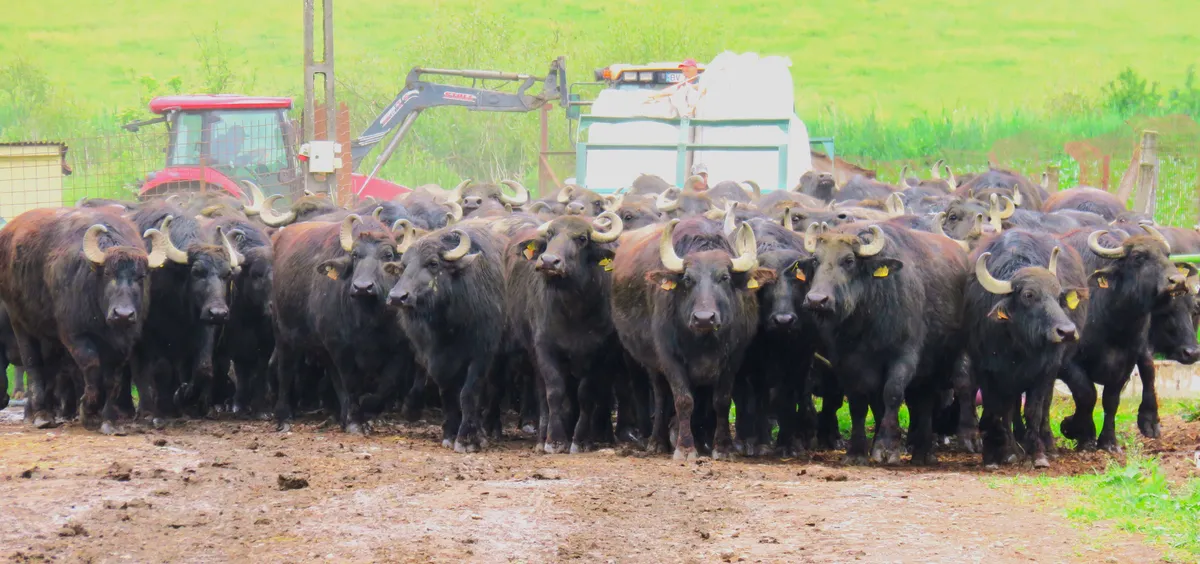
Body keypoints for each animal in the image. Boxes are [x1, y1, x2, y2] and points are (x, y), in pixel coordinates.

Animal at [0, 207, 168, 432]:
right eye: (107, 273)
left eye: (141, 277)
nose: (123, 314)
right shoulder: (74, 334)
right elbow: (92, 367)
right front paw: (87, 410)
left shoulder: (124, 343)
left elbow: (113, 380)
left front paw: (108, 421)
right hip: (20, 322)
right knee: (33, 366)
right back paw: (41, 415)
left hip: (49, 337)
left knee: (50, 370)